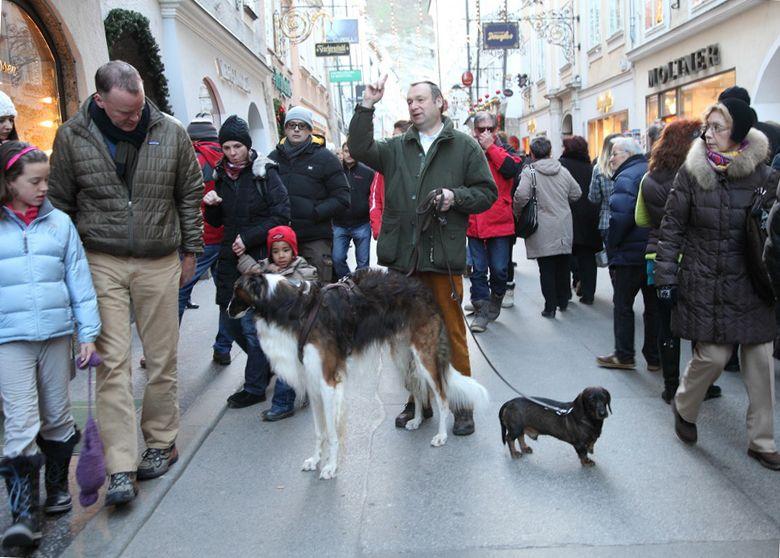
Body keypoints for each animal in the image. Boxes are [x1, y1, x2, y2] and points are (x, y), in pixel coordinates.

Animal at [229, 270, 490, 480]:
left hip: (425, 355)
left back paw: (441, 436)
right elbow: (319, 431)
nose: (228, 311)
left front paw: (330, 467)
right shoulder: (313, 383)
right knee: (417, 389)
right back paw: (416, 420)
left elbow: (332, 432)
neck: (294, 307)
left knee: (443, 397)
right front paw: (315, 460)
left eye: (235, 290)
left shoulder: (327, 381)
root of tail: (426, 292)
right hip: (403, 356)